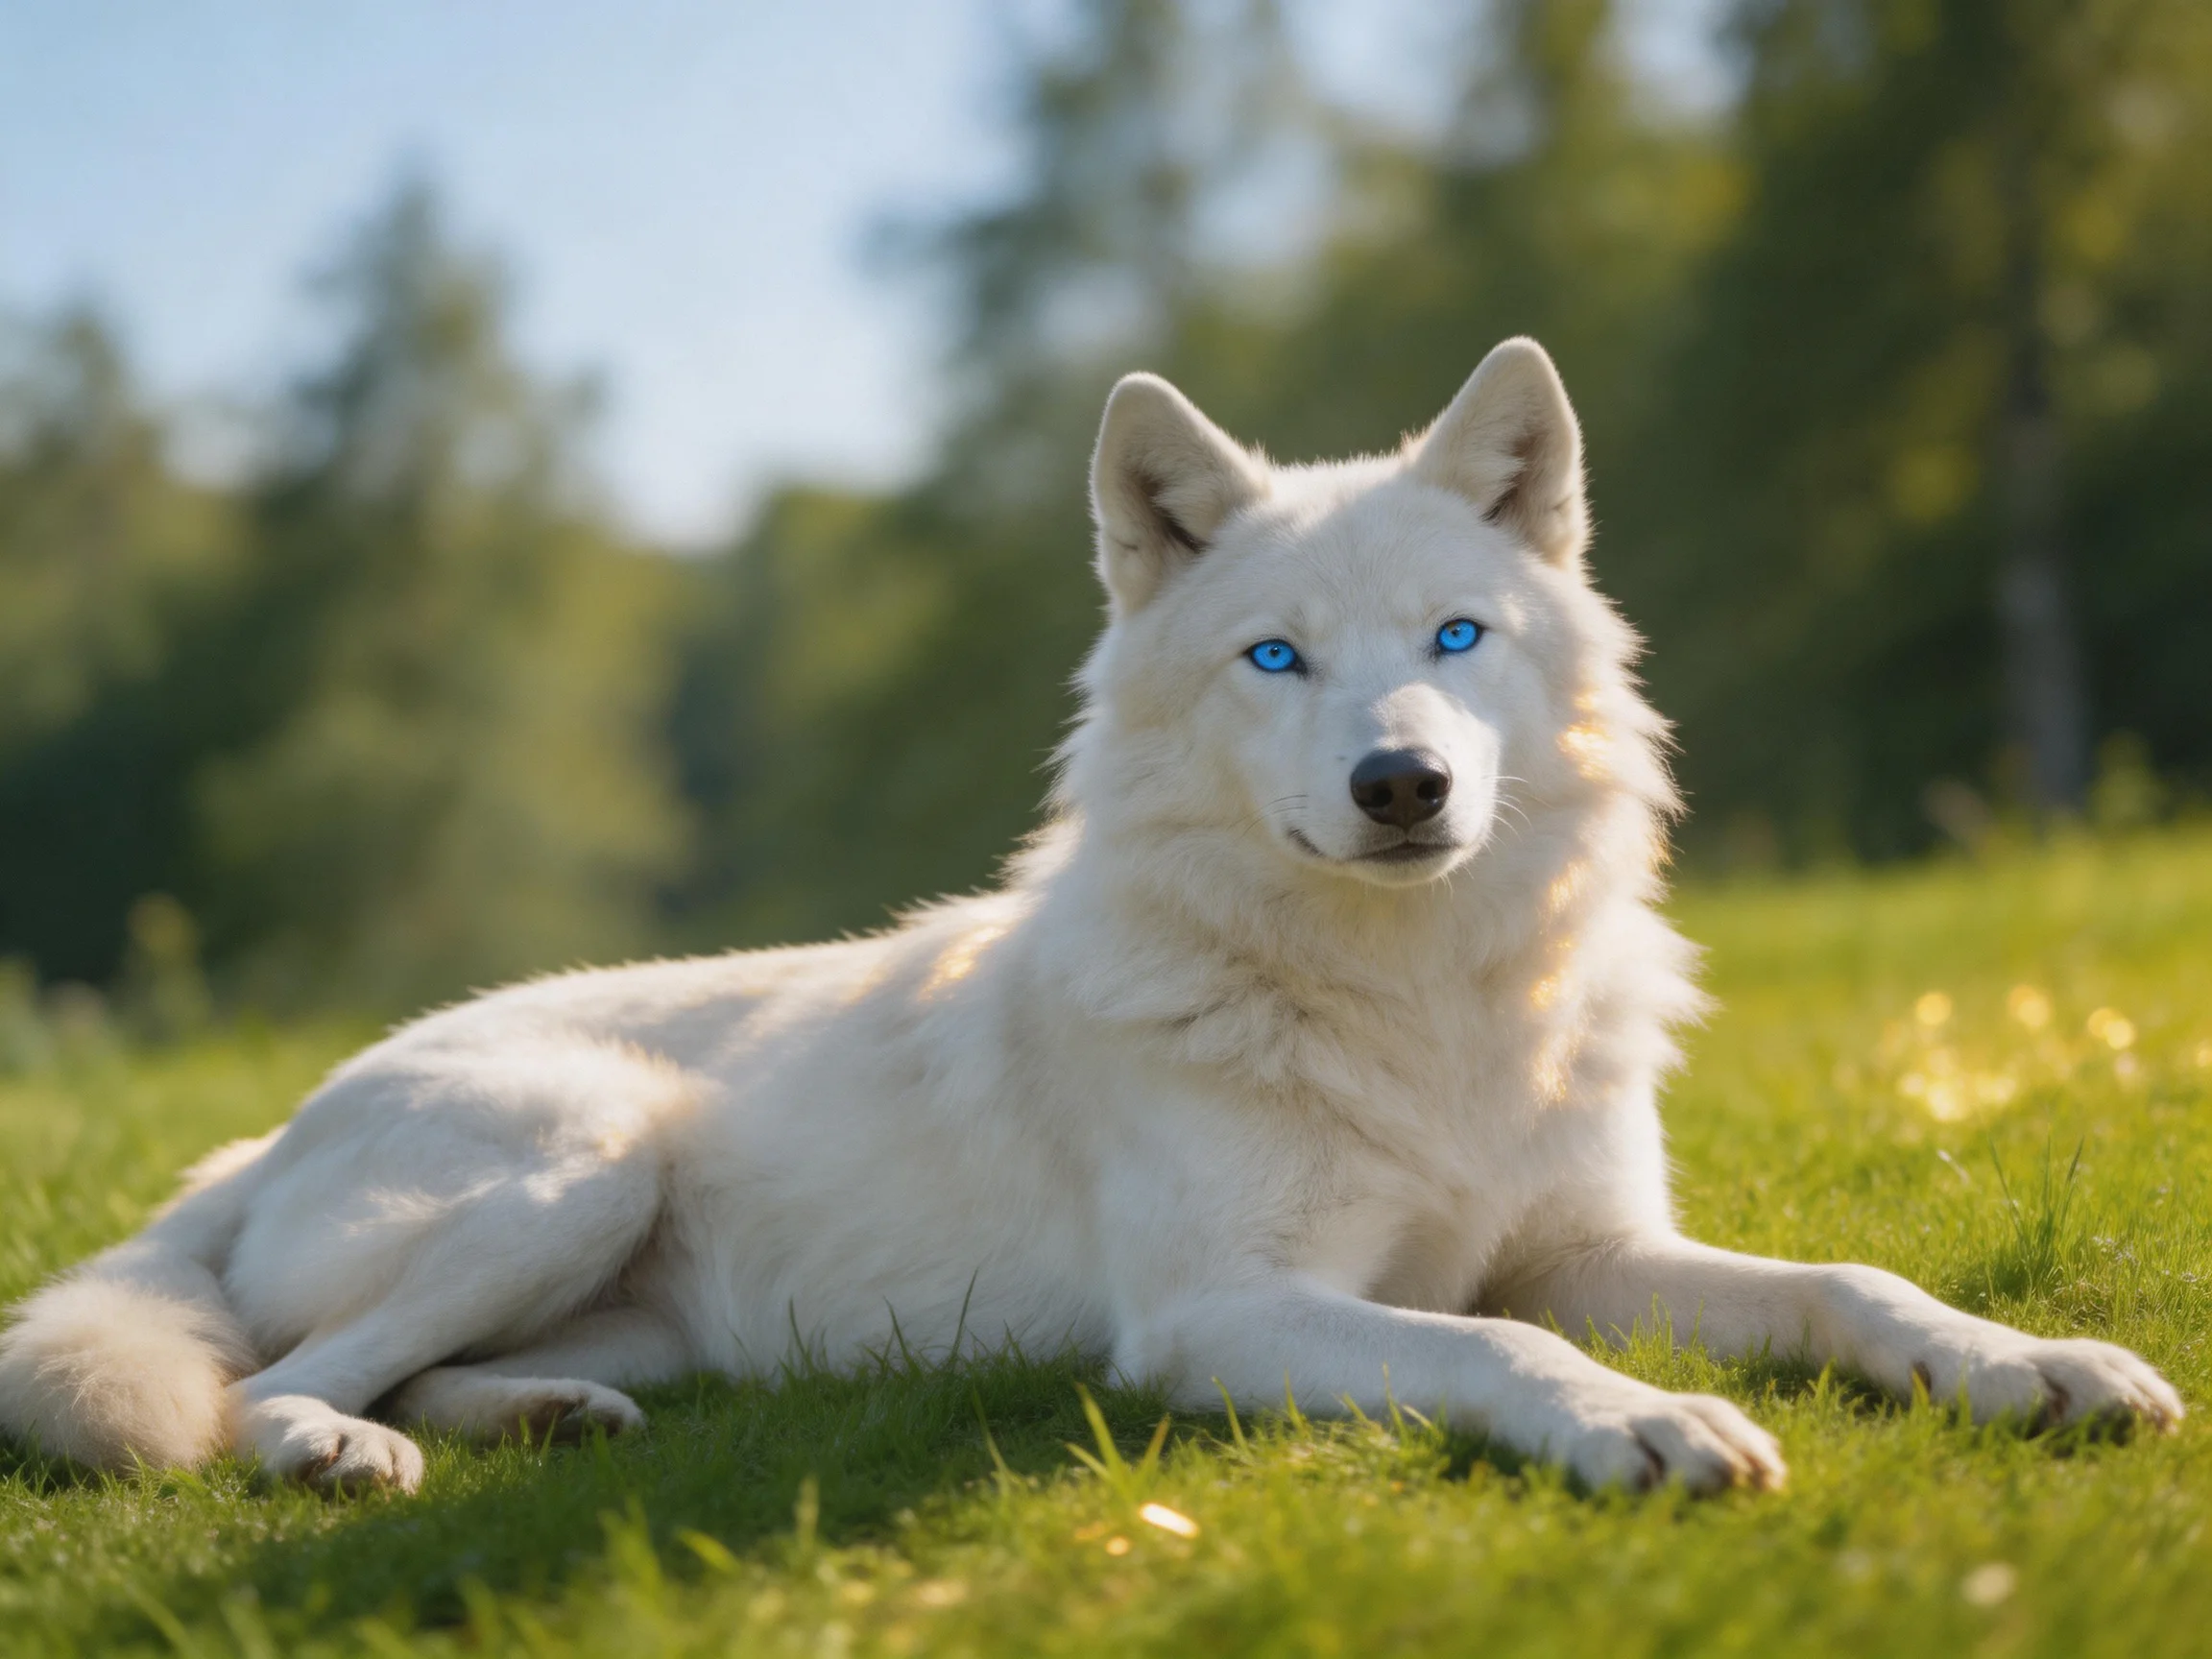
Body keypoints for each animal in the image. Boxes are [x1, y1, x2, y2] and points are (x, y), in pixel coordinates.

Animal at [0, 341, 2180, 1494]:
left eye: (1452, 638)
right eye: (1275, 658)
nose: (1404, 788)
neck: (1412, 1014)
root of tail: (260, 1127)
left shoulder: (1588, 1248)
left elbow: (1851, 1287)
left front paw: (2034, 1366)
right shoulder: (1229, 1315)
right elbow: (1495, 1351)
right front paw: (1642, 1425)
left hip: (631, 1283)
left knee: (409, 1369)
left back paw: (538, 1411)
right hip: (584, 1155)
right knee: (265, 1383)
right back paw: (340, 1455)